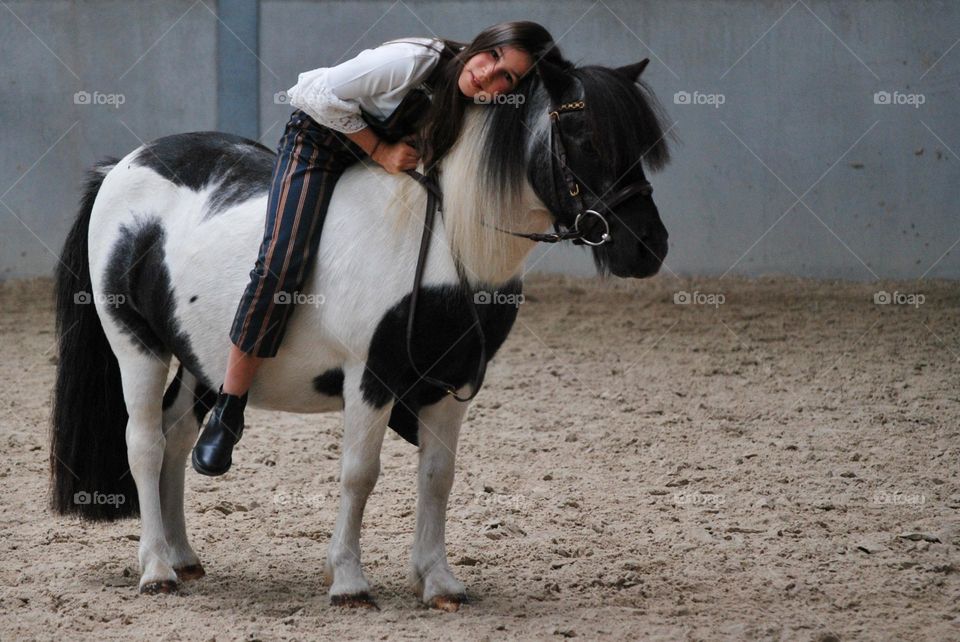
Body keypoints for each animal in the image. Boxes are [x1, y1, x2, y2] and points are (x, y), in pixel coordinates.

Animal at [48, 58, 672, 604]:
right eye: (584, 135)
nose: (648, 247)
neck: (444, 241)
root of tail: (121, 167)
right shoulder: (371, 378)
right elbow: (359, 475)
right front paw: (349, 581)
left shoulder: (450, 385)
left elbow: (437, 476)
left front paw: (438, 581)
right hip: (139, 348)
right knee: (145, 443)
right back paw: (156, 568)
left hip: (200, 359)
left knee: (178, 438)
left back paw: (182, 556)